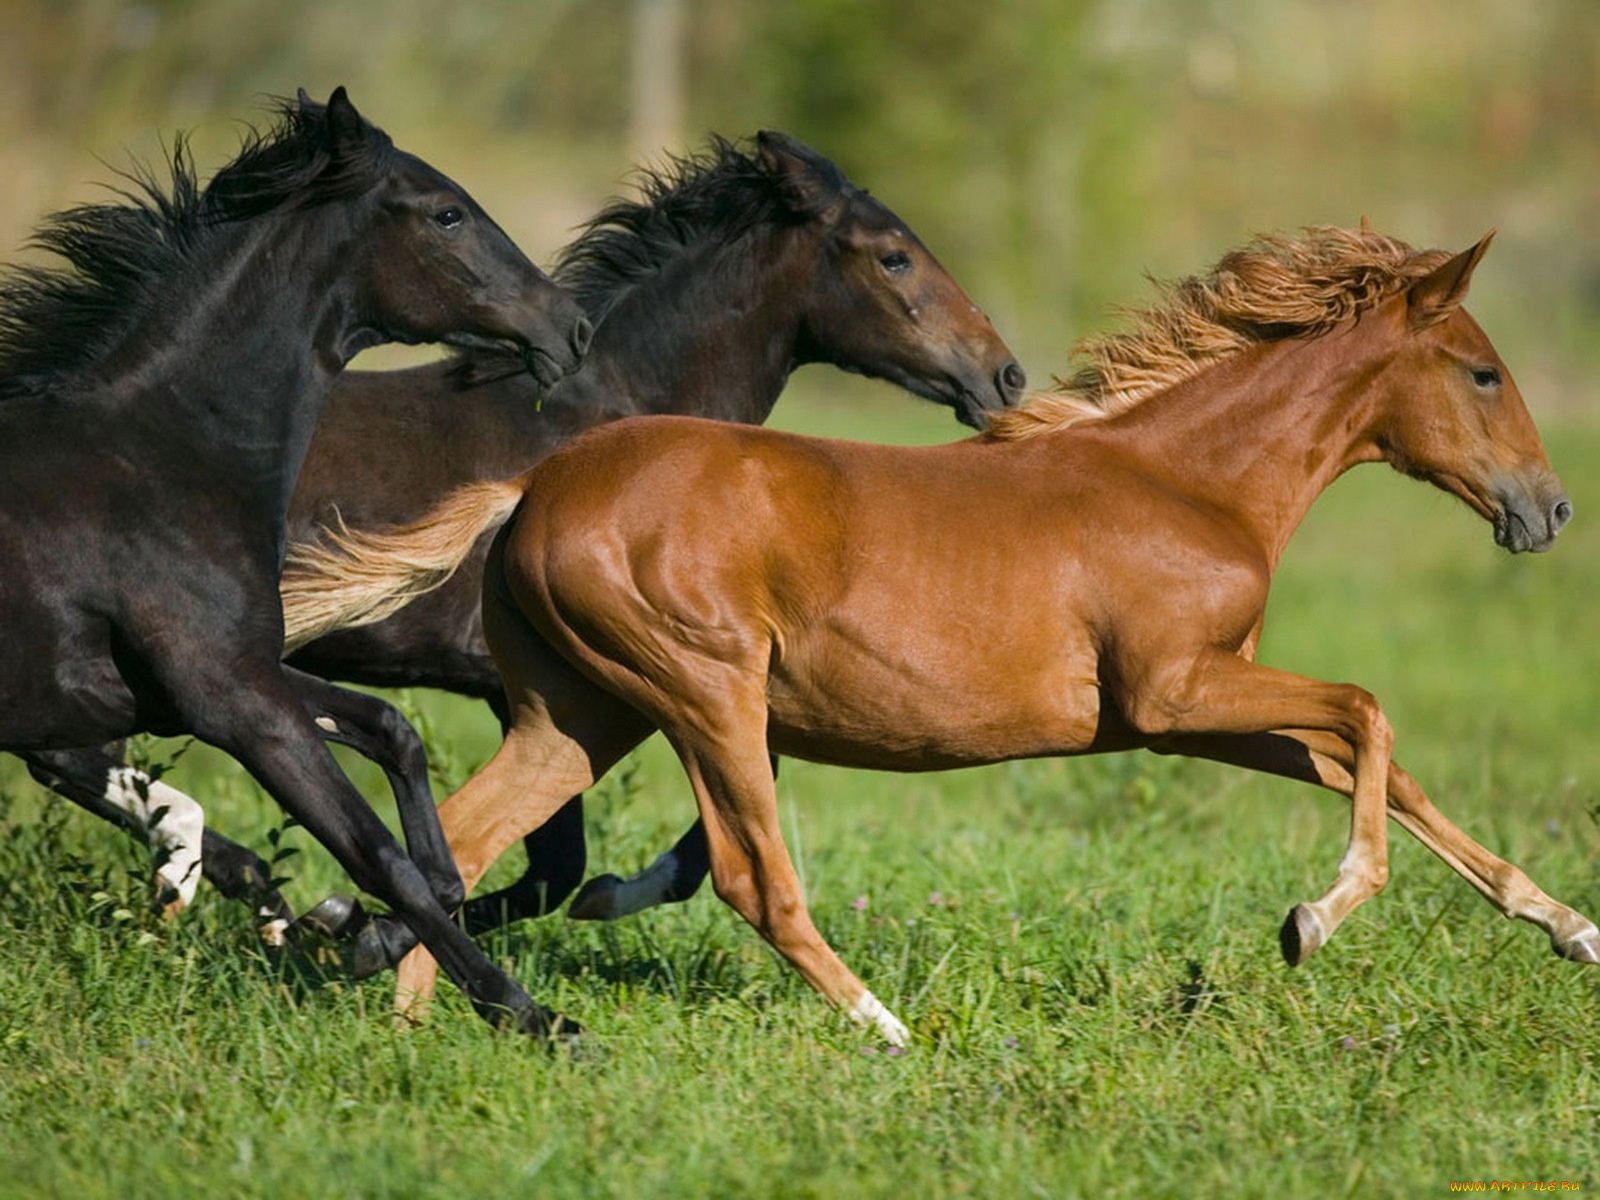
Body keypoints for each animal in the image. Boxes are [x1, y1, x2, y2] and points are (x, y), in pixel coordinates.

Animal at [0, 89, 592, 1036]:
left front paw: (353, 926)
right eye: (447, 214)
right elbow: (373, 850)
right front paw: (533, 1017)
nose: (570, 329)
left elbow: (392, 735)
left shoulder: (212, 683)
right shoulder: (233, 701)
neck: (163, 456)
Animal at [281, 225, 1593, 1043]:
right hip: (708, 696)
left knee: (456, 844)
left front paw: (1567, 926)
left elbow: (1380, 766)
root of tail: (534, 487)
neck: (1190, 484)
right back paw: (884, 1028)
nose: (1548, 509)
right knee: (754, 882)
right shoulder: (1174, 691)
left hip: (578, 715)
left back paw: (422, 1020)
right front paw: (1310, 923)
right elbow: (1369, 716)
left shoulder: (1192, 708)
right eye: (1481, 373)